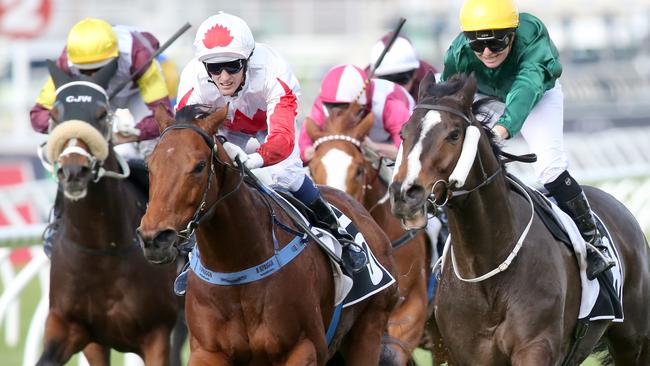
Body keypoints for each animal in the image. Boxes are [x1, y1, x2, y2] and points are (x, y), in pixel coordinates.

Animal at [37, 60, 180, 366]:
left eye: (102, 114)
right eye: (54, 114)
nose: (74, 170)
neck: (102, 249)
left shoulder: (158, 335)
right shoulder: (72, 331)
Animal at [139, 104, 398, 364]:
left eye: (200, 166)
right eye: (150, 165)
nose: (156, 238)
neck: (235, 267)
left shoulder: (304, 347)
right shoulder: (207, 351)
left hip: (368, 329)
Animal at [388, 71, 648, 364]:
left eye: (454, 134)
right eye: (403, 133)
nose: (405, 193)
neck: (487, 272)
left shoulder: (535, 347)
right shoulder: (464, 353)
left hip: (633, 342)